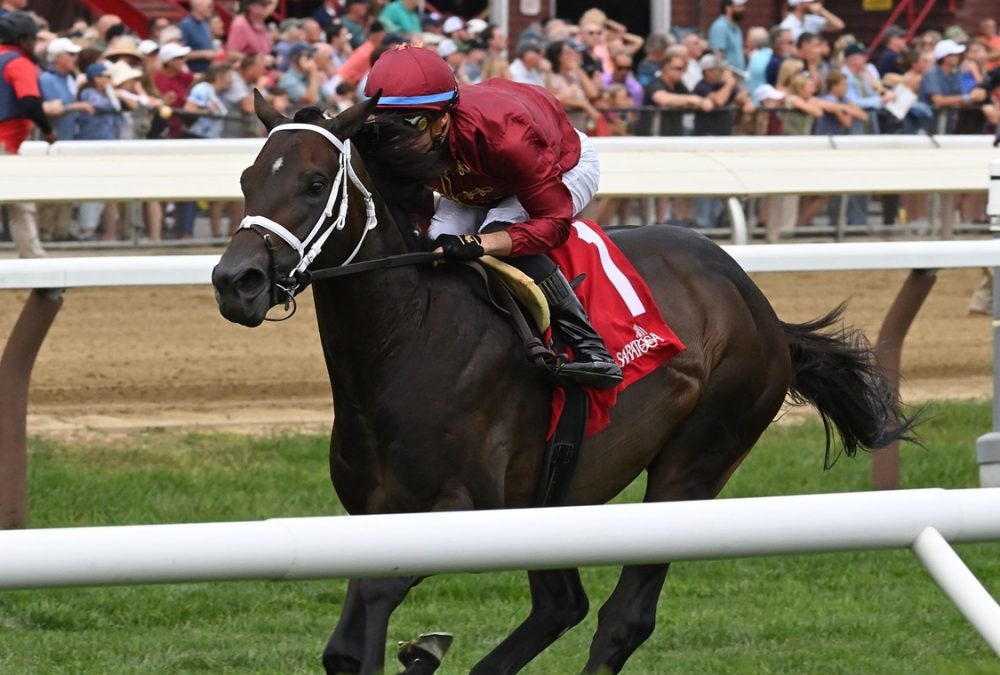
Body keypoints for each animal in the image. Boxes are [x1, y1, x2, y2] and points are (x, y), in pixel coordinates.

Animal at [211, 95, 916, 675]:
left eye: (313, 183)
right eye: (247, 179)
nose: (234, 281)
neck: (412, 338)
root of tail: (757, 302)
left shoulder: (460, 506)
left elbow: (376, 604)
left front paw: (419, 650)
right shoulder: (372, 516)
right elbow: (345, 647)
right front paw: (417, 652)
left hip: (696, 461)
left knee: (621, 618)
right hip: (557, 490)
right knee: (562, 604)